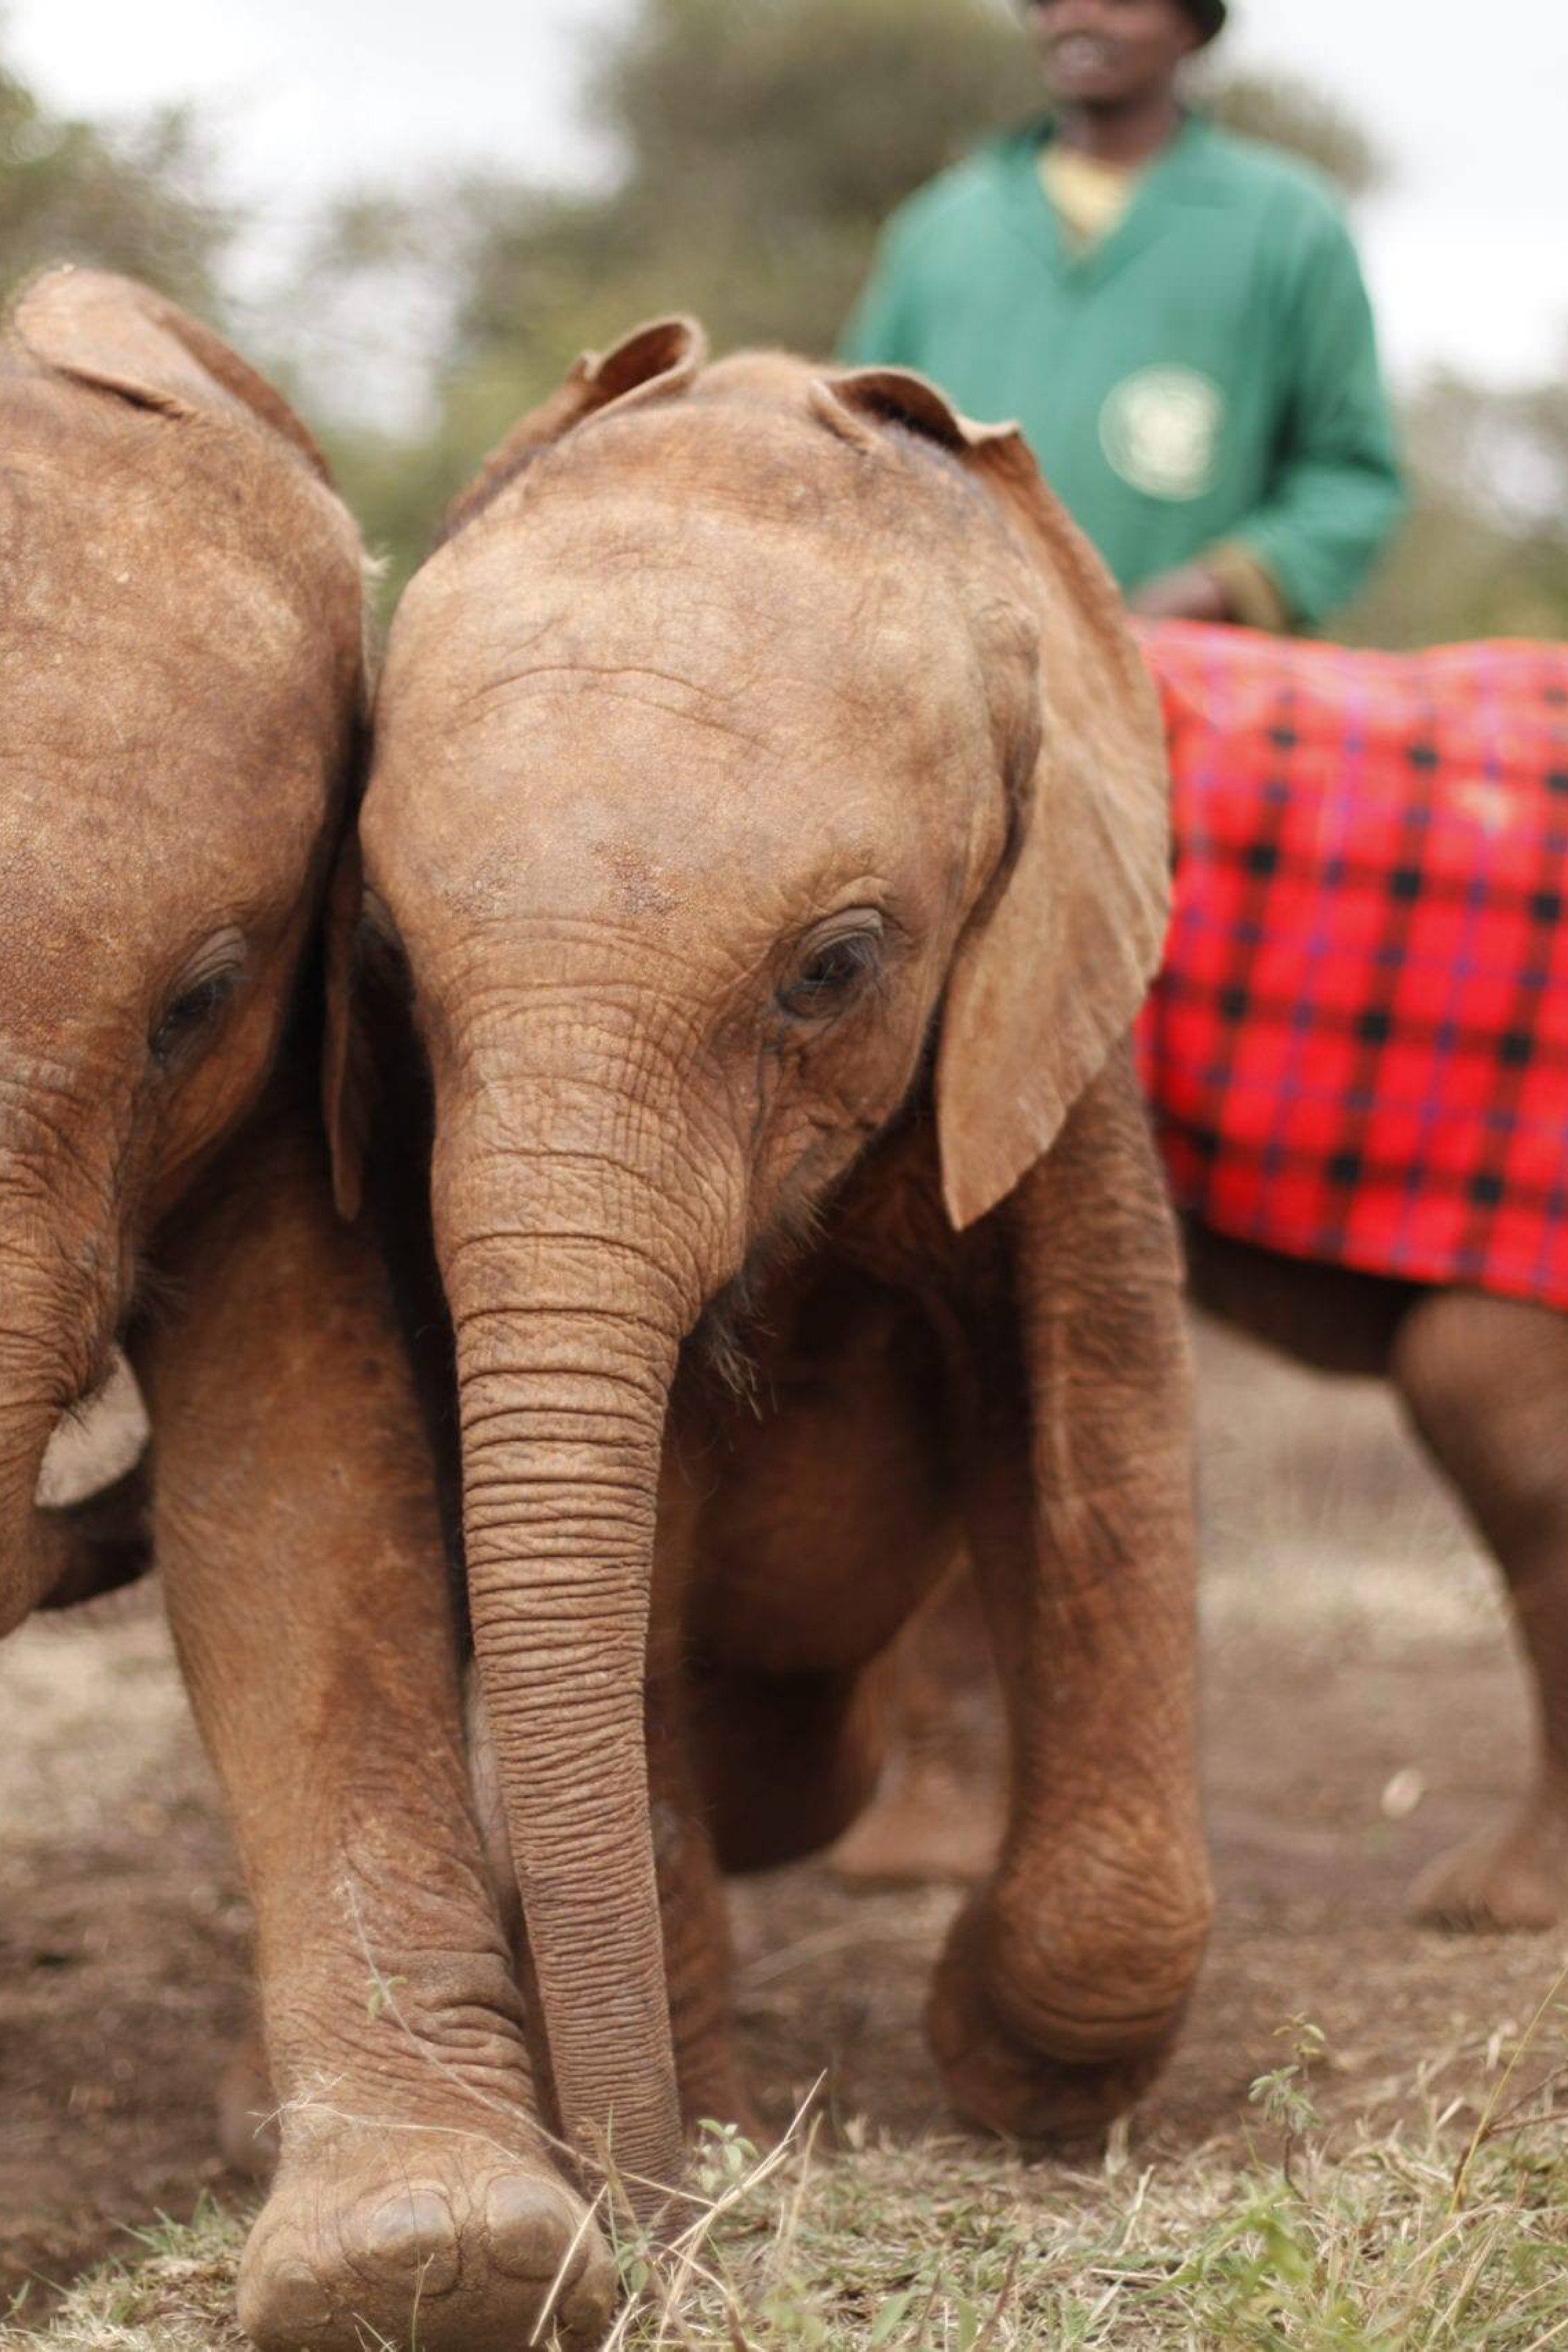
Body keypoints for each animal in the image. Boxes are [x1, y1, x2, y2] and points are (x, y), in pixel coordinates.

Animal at [323, 312, 1215, 2287]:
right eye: (390, 966)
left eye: (836, 967)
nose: (655, 2231)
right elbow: (619, 1594)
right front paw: (722, 2143)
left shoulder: (1054, 1037)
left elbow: (1100, 1447)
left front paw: (1006, 2089)